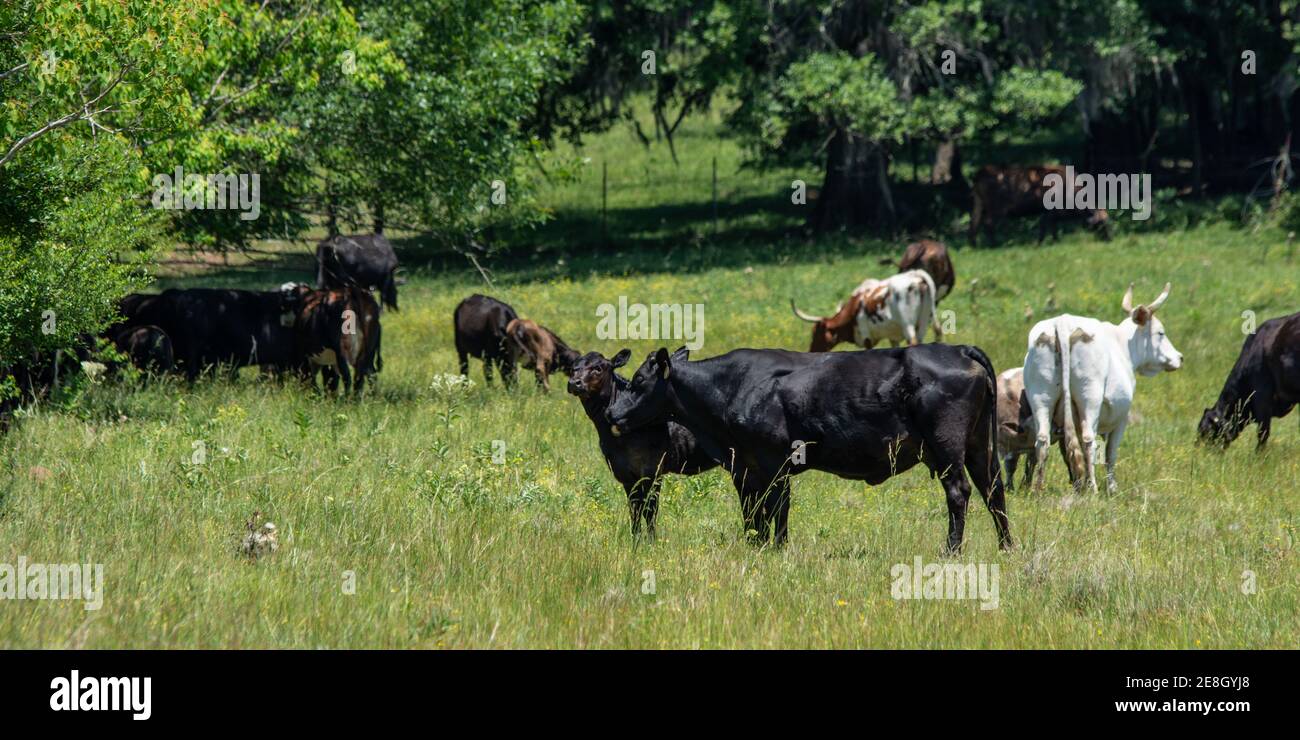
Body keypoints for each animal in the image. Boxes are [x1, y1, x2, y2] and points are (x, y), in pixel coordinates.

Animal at [569, 348, 722, 538]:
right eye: (573, 368)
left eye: (598, 367)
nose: (574, 383)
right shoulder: (624, 473)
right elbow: (634, 510)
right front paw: (635, 539)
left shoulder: (652, 469)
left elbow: (650, 509)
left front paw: (652, 541)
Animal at [603, 343, 1008, 551]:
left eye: (638, 381)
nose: (611, 411)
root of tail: (957, 348)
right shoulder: (744, 467)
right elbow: (753, 513)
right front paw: (756, 547)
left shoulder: (774, 462)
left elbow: (777, 511)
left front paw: (778, 550)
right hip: (978, 444)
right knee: (994, 490)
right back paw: (1006, 547)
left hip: (946, 445)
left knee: (959, 491)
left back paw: (952, 550)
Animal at [972, 164, 1112, 245]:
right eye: (1102, 224)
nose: (1109, 240)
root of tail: (981, 172)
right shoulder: (1050, 212)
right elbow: (1047, 227)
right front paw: (1043, 242)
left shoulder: (1050, 213)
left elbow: (1049, 227)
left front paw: (1053, 241)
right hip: (996, 209)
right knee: (988, 224)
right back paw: (994, 244)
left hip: (979, 206)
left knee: (973, 225)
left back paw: (974, 245)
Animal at [1019, 282, 1185, 491]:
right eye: (1161, 333)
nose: (1179, 357)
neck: (1123, 345)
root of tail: (1063, 322)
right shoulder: (1121, 419)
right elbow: (1110, 454)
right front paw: (1112, 487)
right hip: (1090, 397)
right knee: (1089, 441)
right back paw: (1093, 488)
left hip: (1040, 397)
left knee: (1042, 439)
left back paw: (1038, 488)